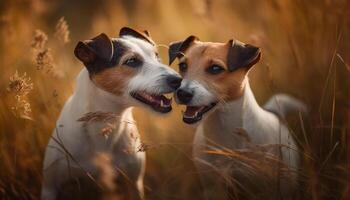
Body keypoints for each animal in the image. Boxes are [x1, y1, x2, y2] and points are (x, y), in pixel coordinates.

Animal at [41, 27, 183, 200]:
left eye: (156, 56)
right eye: (131, 61)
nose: (178, 80)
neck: (104, 126)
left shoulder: (134, 183)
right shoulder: (50, 187)